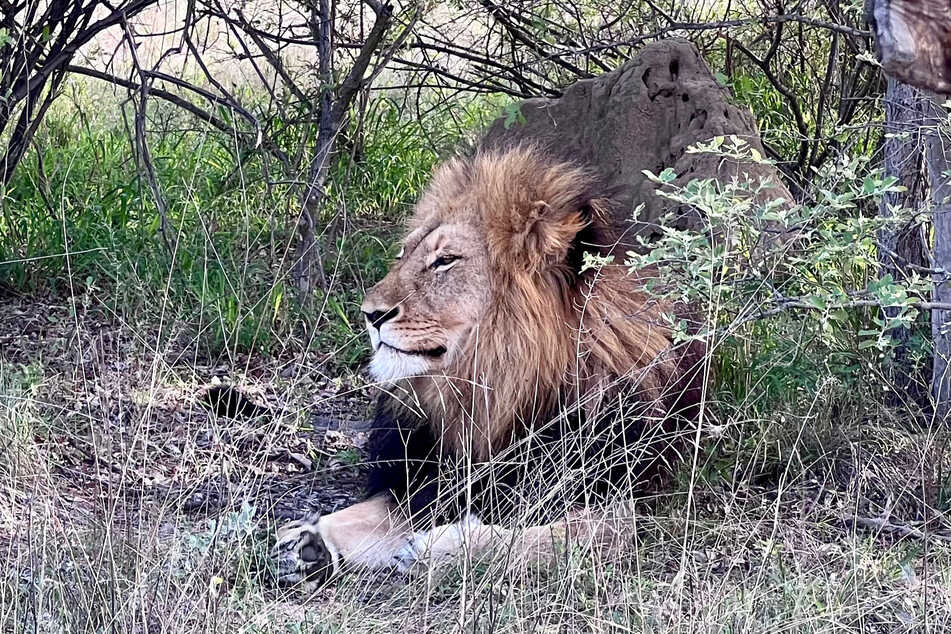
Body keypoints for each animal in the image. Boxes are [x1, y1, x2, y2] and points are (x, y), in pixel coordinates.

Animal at [272, 143, 712, 584]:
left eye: (445, 260)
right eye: (403, 254)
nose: (370, 314)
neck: (495, 391)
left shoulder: (622, 498)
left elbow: (552, 537)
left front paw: (441, 548)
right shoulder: (435, 476)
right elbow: (370, 512)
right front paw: (308, 540)